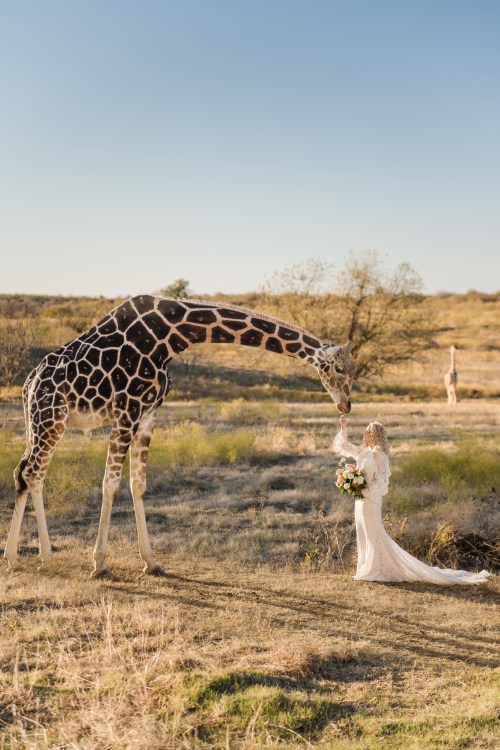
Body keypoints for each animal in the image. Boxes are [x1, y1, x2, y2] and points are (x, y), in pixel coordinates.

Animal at [4, 295, 357, 577]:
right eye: (339, 369)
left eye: (351, 370)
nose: (346, 404)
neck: (171, 336)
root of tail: (28, 383)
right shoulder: (126, 410)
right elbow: (110, 484)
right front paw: (99, 564)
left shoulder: (147, 415)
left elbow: (138, 485)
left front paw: (151, 562)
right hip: (51, 418)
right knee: (33, 473)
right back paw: (44, 557)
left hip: (39, 423)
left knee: (22, 472)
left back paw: (12, 557)